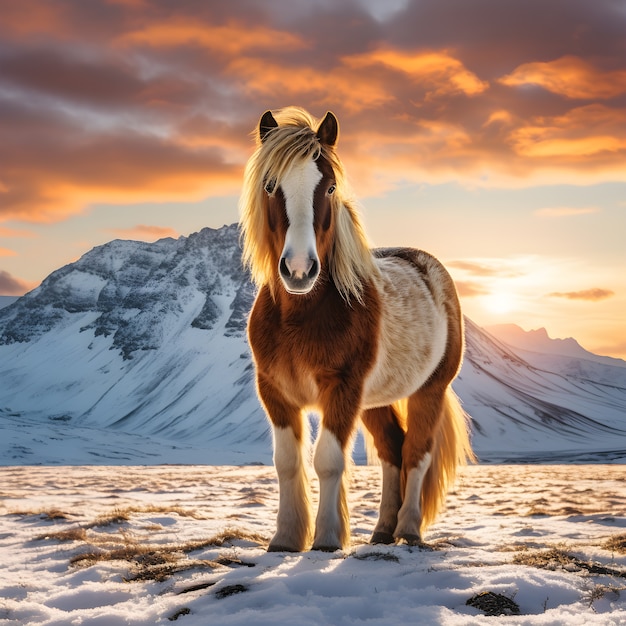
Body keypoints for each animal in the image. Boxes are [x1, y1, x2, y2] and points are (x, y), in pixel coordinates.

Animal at [239, 107, 472, 552]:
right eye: (271, 185)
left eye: (329, 186)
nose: (299, 270)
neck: (299, 315)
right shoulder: (274, 391)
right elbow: (287, 462)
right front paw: (285, 538)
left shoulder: (342, 388)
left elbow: (328, 460)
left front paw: (327, 539)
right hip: (376, 401)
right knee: (392, 451)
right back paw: (381, 532)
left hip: (428, 391)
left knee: (416, 453)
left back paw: (408, 530)